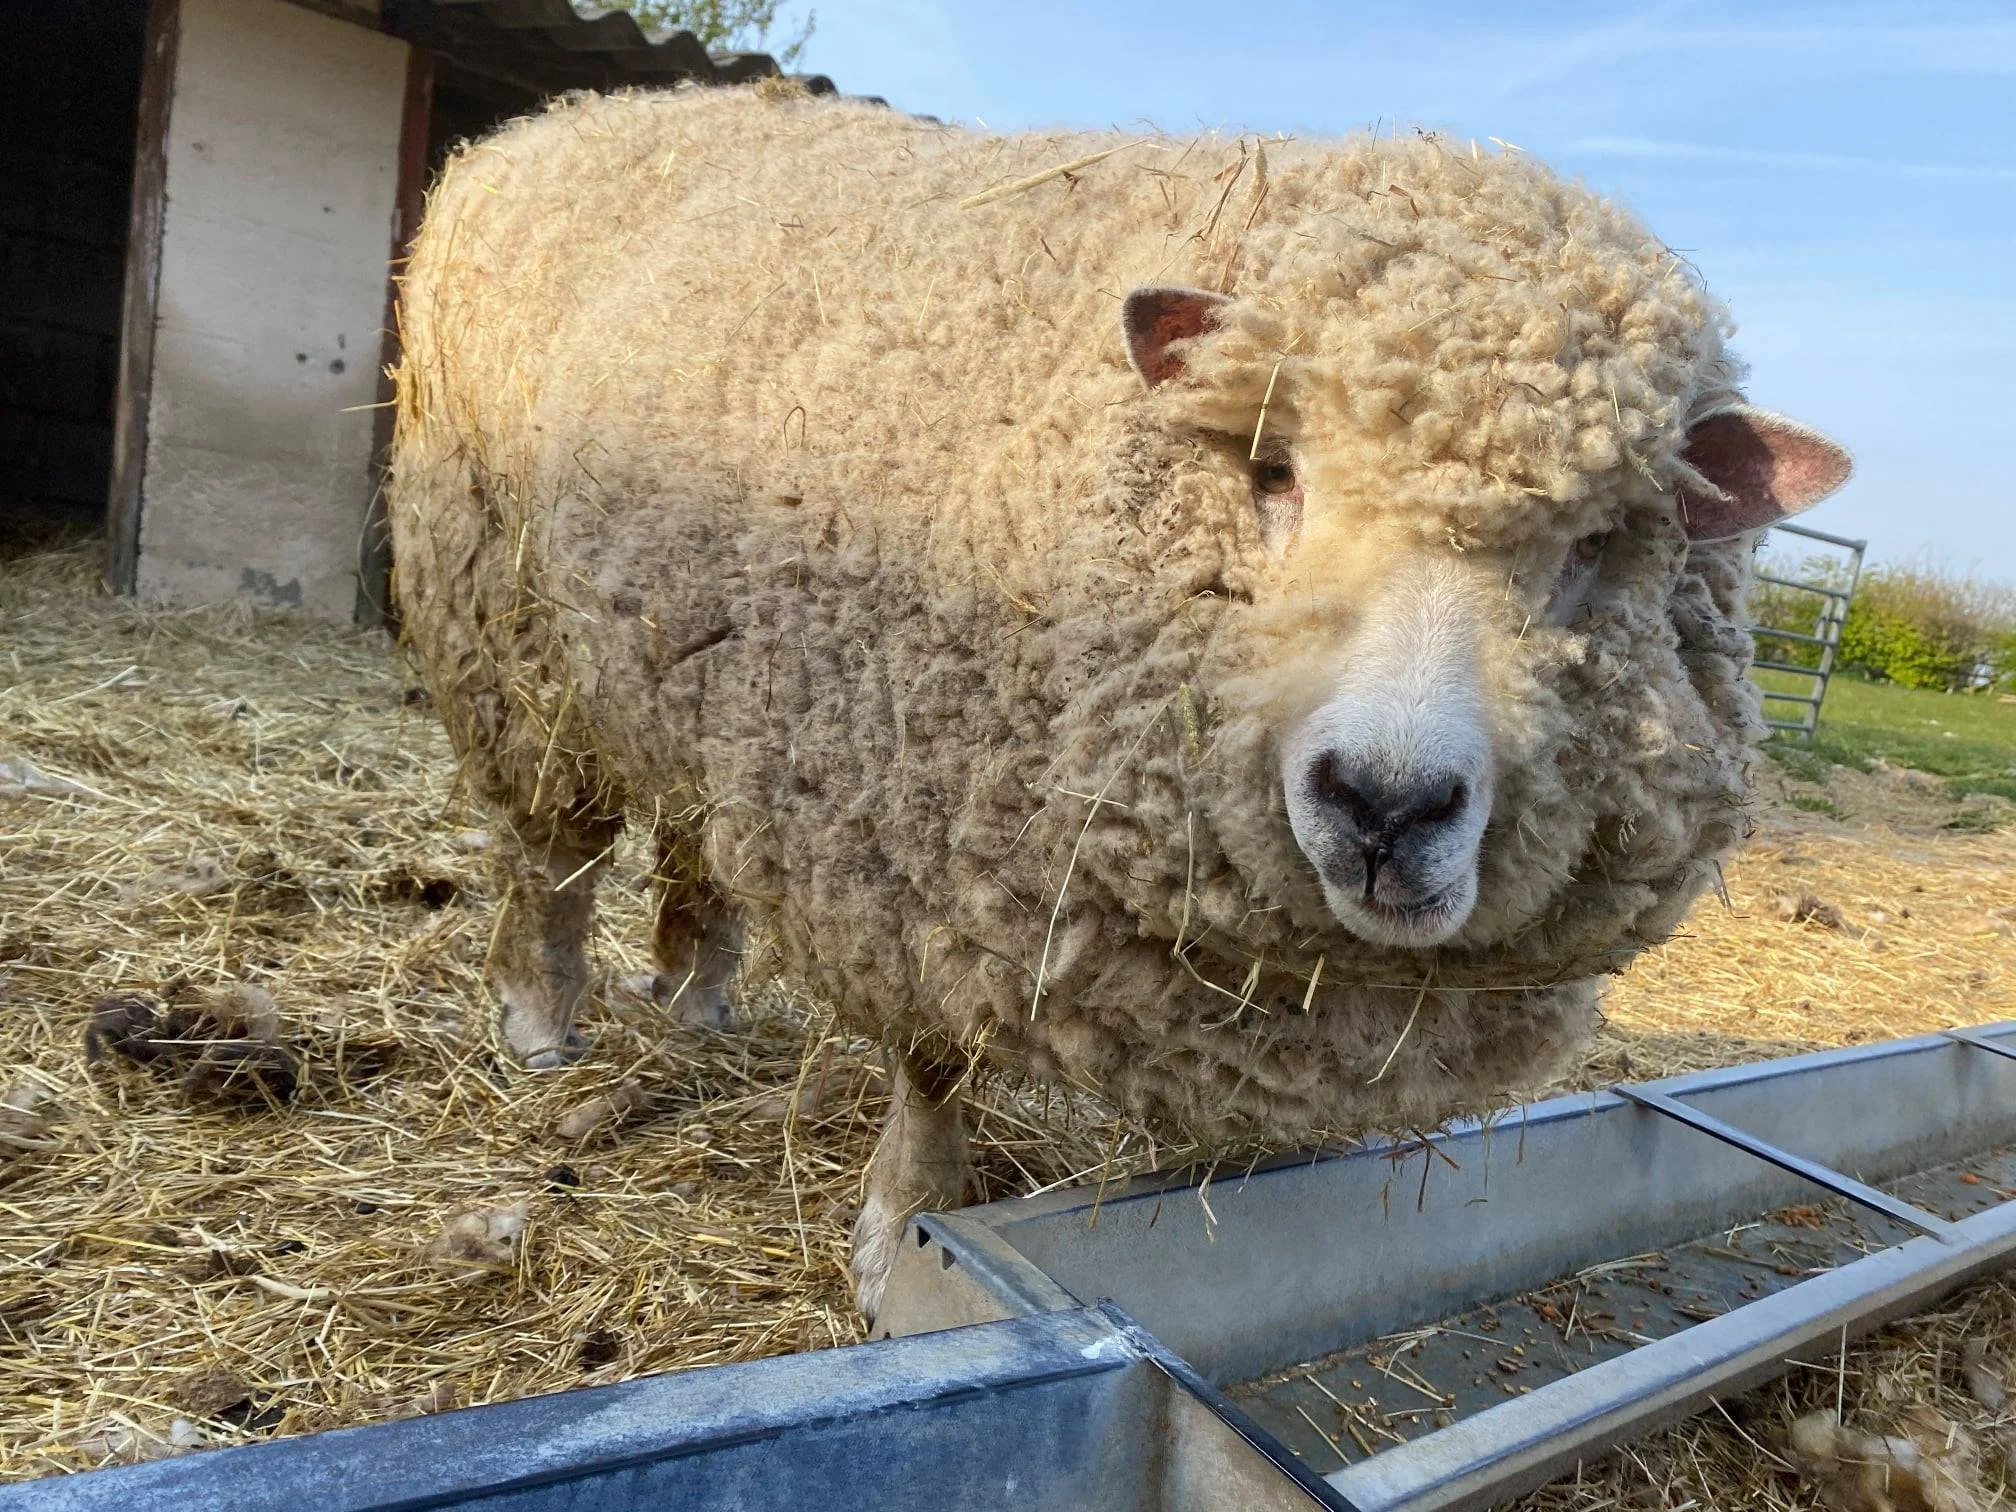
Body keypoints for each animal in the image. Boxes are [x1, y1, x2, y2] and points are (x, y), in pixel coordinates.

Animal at [388, 87, 1850, 1317]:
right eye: (1272, 470)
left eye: (1600, 543)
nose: (1386, 804)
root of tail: (542, 127)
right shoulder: (918, 857)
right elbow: (936, 1072)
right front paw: (898, 1236)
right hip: (504, 618)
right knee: (555, 850)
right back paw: (542, 1022)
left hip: (696, 658)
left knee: (692, 834)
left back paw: (696, 991)